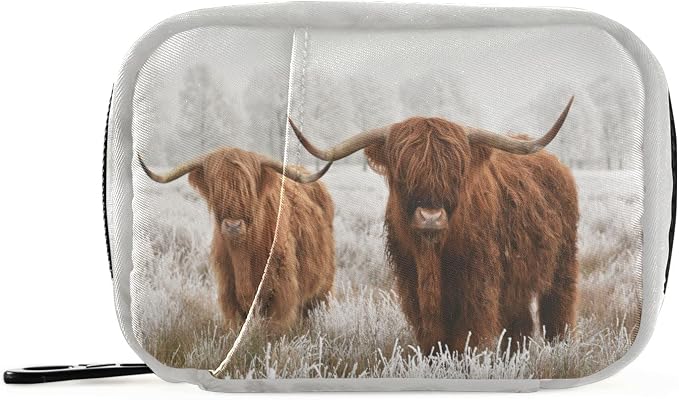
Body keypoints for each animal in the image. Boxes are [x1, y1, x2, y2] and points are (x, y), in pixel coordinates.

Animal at [138, 147, 336, 333]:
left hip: (323, 287)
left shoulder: (281, 295)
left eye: (248, 188)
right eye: (216, 187)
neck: (243, 253)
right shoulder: (229, 294)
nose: (233, 226)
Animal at [288, 97, 578, 353]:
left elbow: (467, 336)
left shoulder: (478, 284)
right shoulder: (410, 282)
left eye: (456, 173)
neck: (432, 254)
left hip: (562, 264)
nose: (430, 217)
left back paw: (559, 348)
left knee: (558, 309)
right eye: (403, 173)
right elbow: (432, 337)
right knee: (520, 323)